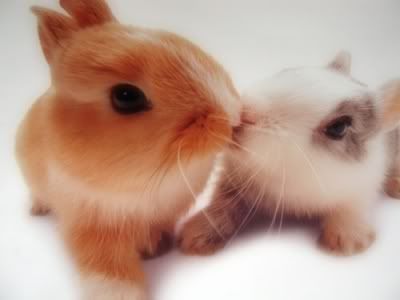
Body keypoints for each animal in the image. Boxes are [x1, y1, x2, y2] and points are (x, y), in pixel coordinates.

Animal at [15, 1, 241, 298]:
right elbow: (109, 268)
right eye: (126, 97)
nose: (232, 117)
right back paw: (37, 210)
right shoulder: (93, 229)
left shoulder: (163, 215)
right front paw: (121, 293)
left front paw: (156, 249)